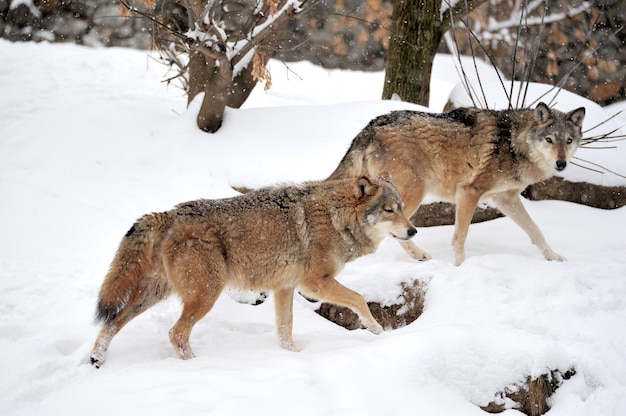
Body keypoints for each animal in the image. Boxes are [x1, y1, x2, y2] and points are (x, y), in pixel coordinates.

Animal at [89, 176, 414, 368]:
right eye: (389, 210)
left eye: (402, 207)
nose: (413, 230)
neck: (338, 217)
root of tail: (168, 213)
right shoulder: (313, 284)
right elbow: (358, 299)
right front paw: (377, 331)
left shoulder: (284, 288)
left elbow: (285, 330)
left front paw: (293, 357)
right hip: (206, 294)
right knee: (175, 333)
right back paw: (196, 366)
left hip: (156, 294)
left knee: (112, 323)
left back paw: (97, 357)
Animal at [326, 104, 584, 266]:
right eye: (549, 140)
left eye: (568, 141)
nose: (561, 163)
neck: (512, 143)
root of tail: (370, 127)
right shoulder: (469, 192)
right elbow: (460, 236)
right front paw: (460, 266)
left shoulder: (506, 199)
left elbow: (536, 231)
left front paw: (553, 257)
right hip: (412, 194)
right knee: (396, 231)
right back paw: (419, 255)